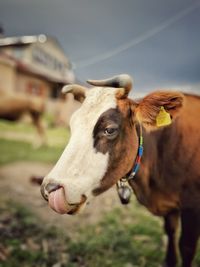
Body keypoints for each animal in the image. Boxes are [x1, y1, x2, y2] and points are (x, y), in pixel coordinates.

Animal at [40, 74, 200, 267]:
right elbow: (171, 237)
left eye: (109, 130)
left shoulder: (192, 206)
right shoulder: (170, 209)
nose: (50, 188)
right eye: (72, 126)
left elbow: (187, 248)